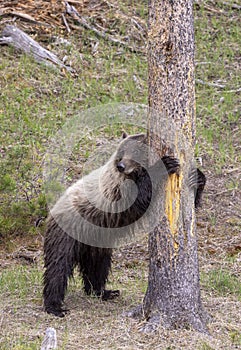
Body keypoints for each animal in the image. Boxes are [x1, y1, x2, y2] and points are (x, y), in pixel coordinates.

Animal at [43, 132, 205, 318]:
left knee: (98, 266)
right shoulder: (118, 190)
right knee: (58, 266)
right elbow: (141, 195)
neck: (132, 174)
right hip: (68, 232)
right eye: (121, 152)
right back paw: (55, 306)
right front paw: (166, 164)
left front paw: (197, 177)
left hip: (97, 240)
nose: (121, 166)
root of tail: (53, 209)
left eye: (134, 152)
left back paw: (103, 291)